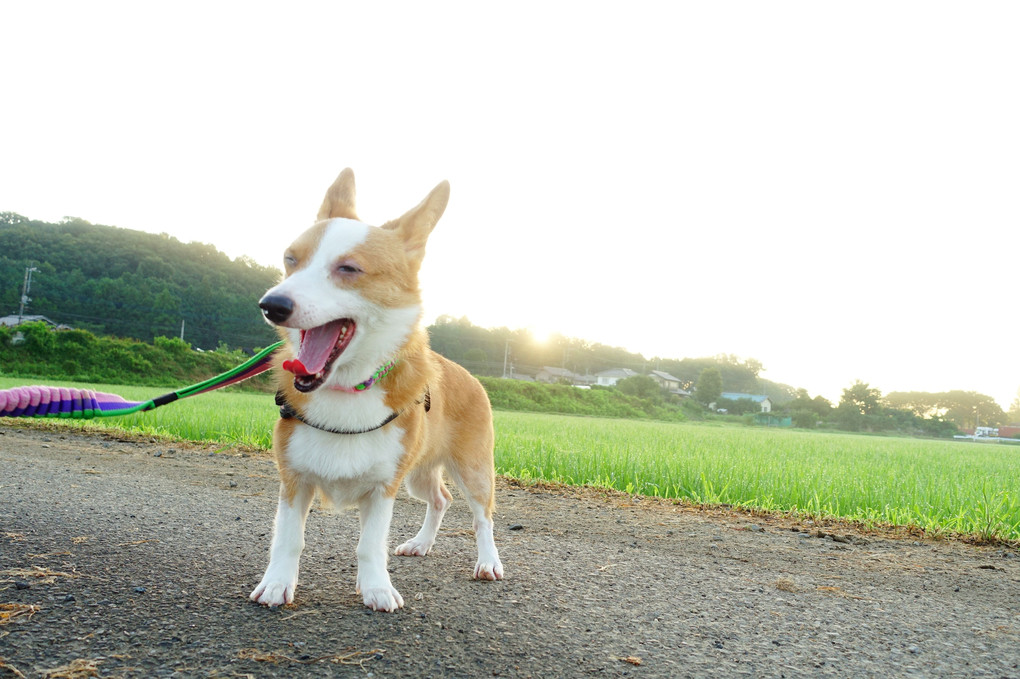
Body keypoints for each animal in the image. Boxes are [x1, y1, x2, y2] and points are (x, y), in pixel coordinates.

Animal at [246, 168, 501, 607]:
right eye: (290, 260)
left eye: (349, 269)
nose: (271, 305)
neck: (348, 388)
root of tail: (469, 374)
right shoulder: (294, 480)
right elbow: (288, 539)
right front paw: (277, 583)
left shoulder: (384, 487)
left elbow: (369, 545)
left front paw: (377, 589)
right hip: (419, 473)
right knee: (441, 498)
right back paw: (421, 543)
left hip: (472, 468)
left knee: (481, 515)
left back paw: (487, 561)